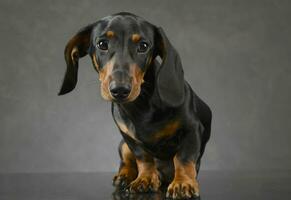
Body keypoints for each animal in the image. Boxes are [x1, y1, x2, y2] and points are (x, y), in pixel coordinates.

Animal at [58, 12, 212, 198]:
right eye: (102, 44)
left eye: (143, 46)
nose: (119, 90)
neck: (141, 106)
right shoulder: (128, 138)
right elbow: (143, 158)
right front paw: (145, 178)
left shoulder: (192, 129)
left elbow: (183, 158)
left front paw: (183, 183)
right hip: (122, 146)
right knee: (126, 161)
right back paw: (124, 176)